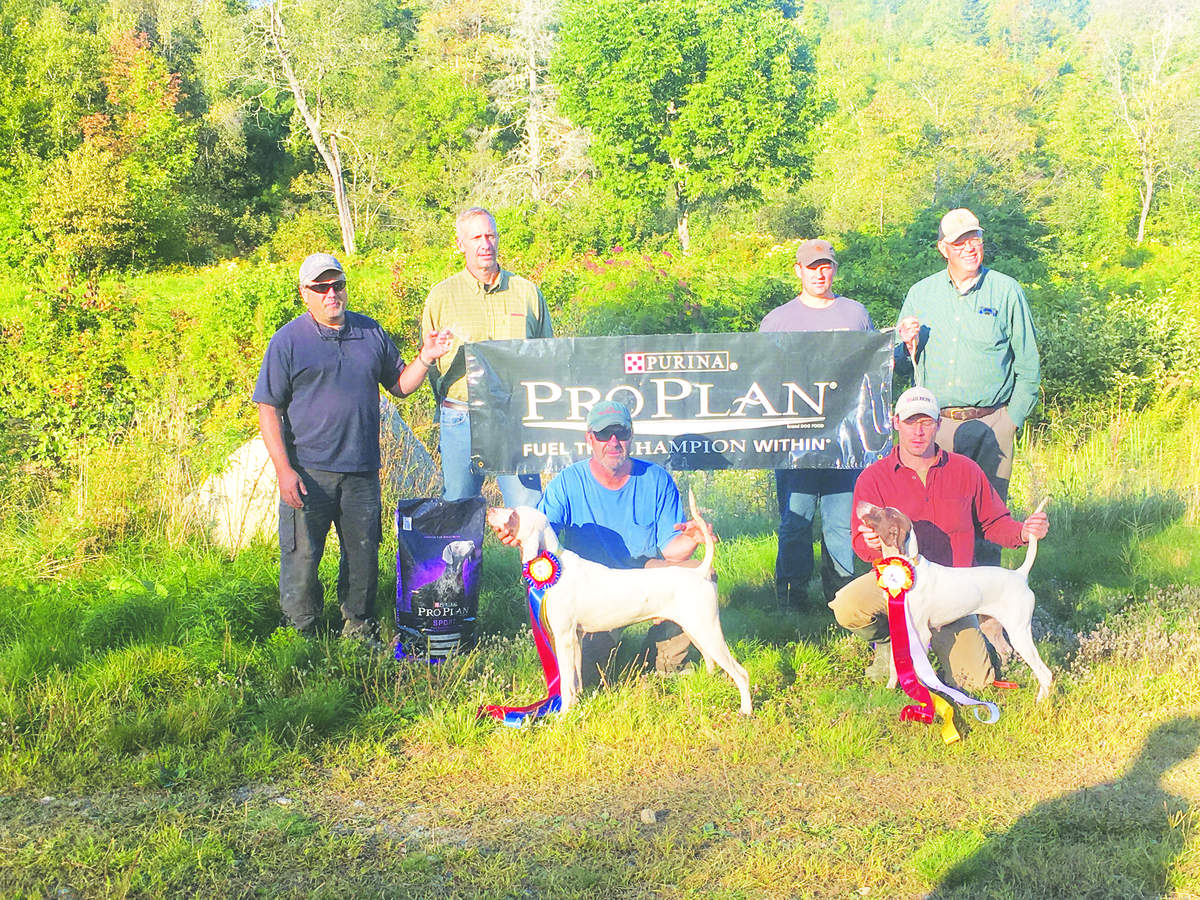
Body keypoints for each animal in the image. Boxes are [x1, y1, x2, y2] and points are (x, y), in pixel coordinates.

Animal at [484, 494, 748, 720]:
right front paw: (577, 704)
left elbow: (566, 682)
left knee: (741, 673)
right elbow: (576, 678)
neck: (554, 565)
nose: (490, 509)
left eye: (514, 514)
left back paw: (746, 711)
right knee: (712, 662)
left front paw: (564, 715)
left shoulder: (564, 637)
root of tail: (700, 572)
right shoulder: (577, 638)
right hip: (696, 630)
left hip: (707, 630)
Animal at [864, 501, 1051, 705]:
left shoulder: (921, 633)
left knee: (1045, 673)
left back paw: (1041, 703)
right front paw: (890, 690)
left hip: (1019, 633)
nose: (861, 504)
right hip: (991, 626)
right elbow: (894, 665)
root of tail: (1020, 574)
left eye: (883, 512)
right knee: (1007, 652)